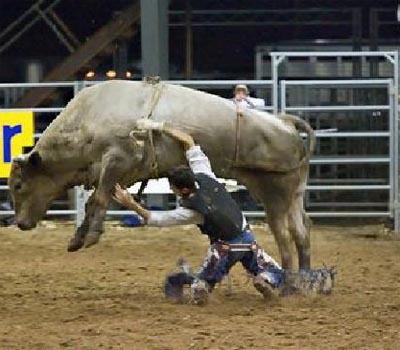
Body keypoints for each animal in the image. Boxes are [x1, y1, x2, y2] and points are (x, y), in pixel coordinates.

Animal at [7, 79, 316, 270]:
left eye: (19, 185)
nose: (20, 223)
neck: (86, 123)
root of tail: (285, 123)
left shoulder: (117, 160)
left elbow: (98, 199)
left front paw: (90, 236)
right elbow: (94, 201)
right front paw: (77, 239)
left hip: (275, 192)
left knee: (285, 235)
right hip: (294, 193)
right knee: (301, 232)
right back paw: (303, 280)